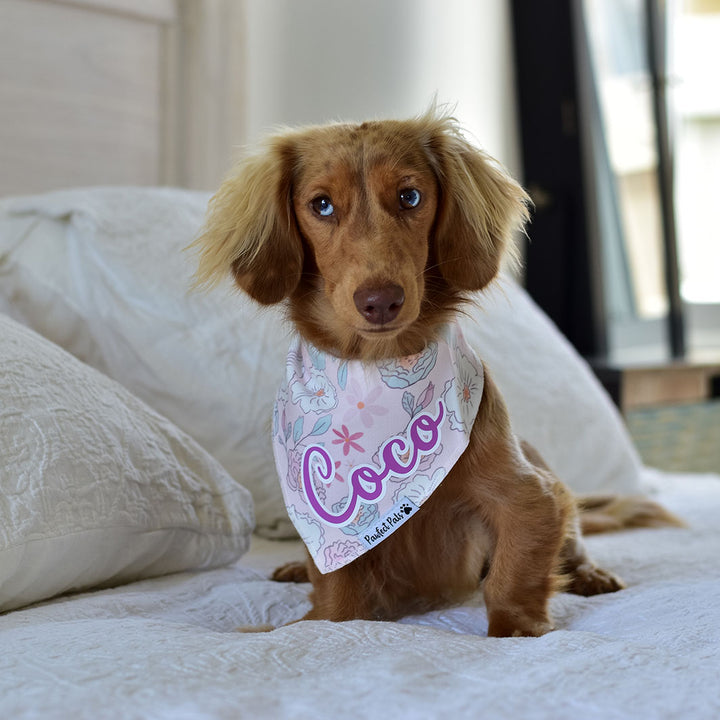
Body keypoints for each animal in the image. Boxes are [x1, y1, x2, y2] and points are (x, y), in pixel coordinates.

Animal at [194, 108, 684, 636]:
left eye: (410, 196)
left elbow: (512, 576)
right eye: (321, 205)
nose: (380, 301)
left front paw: (516, 630)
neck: (379, 370)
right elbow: (337, 603)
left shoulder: (531, 497)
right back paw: (290, 567)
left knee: (573, 544)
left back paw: (592, 574)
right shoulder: (332, 537)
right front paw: (320, 620)